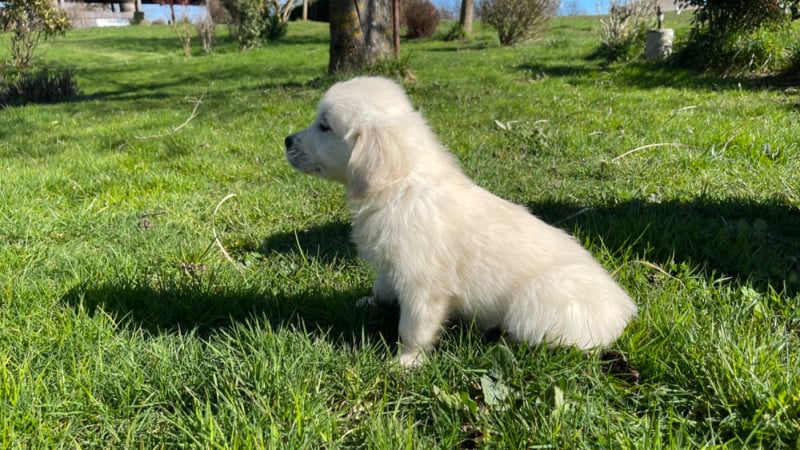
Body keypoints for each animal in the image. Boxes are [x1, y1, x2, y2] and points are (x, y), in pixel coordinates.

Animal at [285, 77, 636, 367]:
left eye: (325, 126)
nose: (286, 140)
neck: (402, 184)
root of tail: (625, 310)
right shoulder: (393, 261)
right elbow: (383, 284)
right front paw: (370, 301)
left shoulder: (423, 285)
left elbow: (413, 326)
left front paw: (405, 362)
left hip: (536, 304)